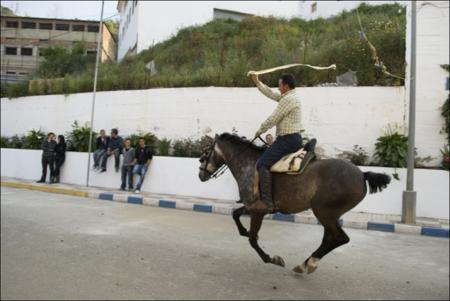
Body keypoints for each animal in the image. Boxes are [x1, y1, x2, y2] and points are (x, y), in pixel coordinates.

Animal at [197, 132, 390, 274]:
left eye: (205, 154)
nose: (201, 175)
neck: (248, 164)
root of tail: (362, 174)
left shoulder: (258, 210)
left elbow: (252, 239)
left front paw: (271, 258)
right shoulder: (252, 207)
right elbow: (235, 214)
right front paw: (244, 231)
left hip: (324, 212)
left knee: (339, 238)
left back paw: (309, 263)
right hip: (329, 215)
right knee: (330, 239)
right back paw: (307, 263)